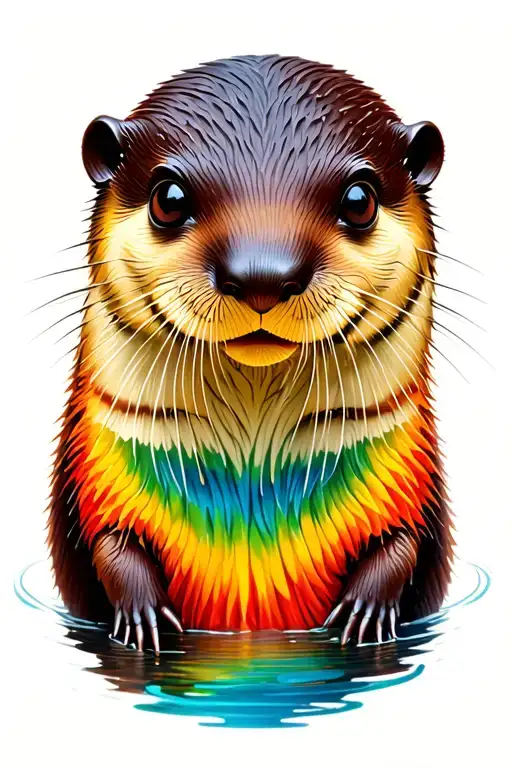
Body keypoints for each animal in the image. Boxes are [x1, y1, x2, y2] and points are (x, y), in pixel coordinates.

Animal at [48, 55, 452, 652]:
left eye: (359, 201)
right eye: (169, 199)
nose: (262, 275)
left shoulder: (406, 472)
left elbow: (401, 541)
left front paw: (365, 615)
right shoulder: (99, 469)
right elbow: (110, 542)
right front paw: (145, 621)